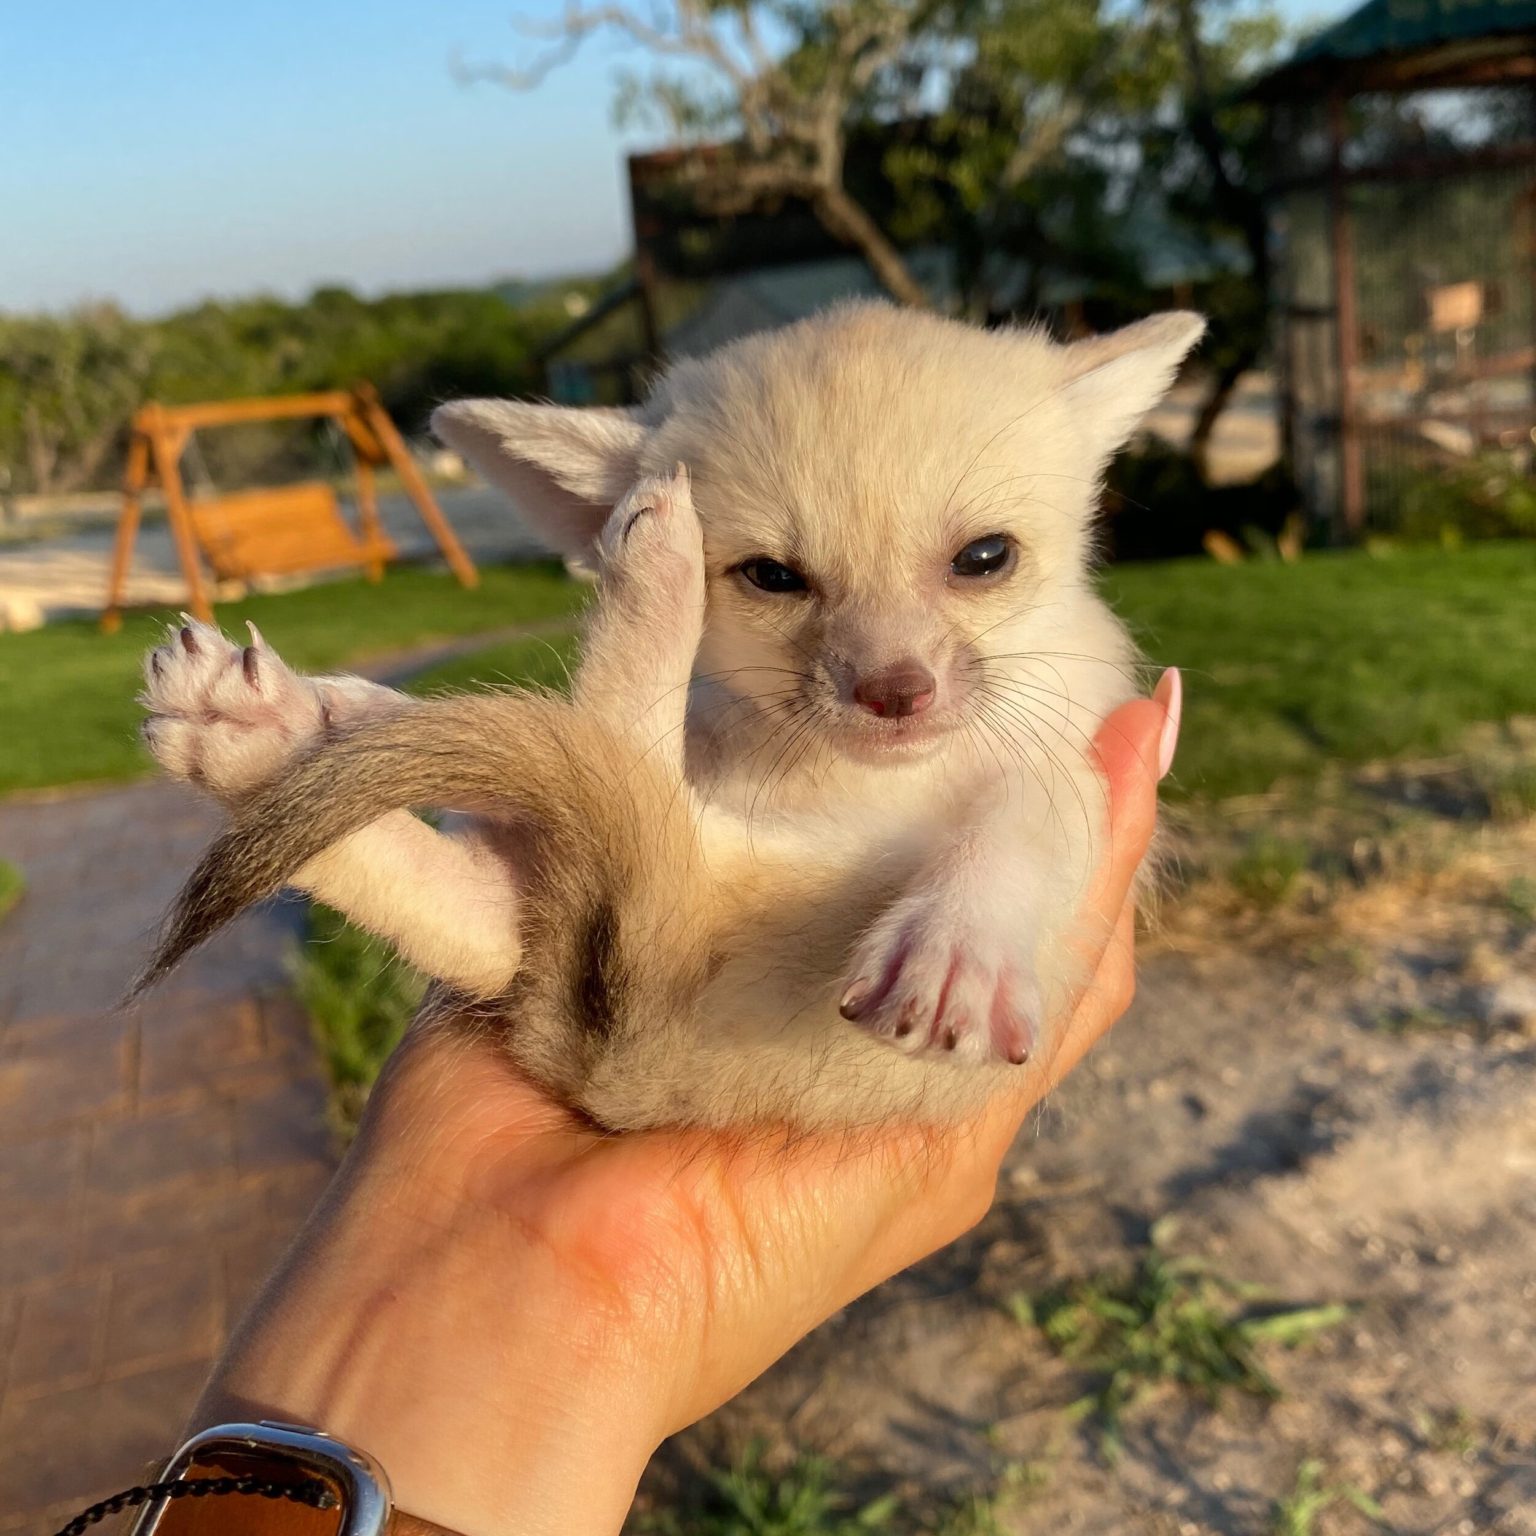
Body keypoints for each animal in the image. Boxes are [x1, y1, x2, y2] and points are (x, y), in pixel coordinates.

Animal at [133, 301, 1199, 1131]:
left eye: (984, 558)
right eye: (773, 576)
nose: (895, 692)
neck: (851, 782)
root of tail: (627, 1063)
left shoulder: (1079, 756)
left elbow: (1017, 821)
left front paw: (960, 950)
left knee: (570, 798)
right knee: (592, 766)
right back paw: (298, 726)